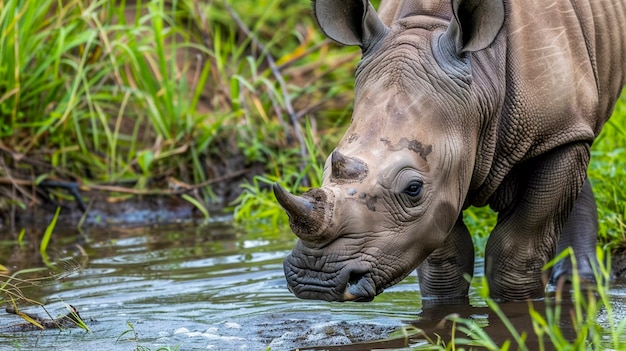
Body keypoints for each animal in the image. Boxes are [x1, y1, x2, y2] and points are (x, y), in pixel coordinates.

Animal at [272, 0, 624, 302]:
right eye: (327, 167)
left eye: (413, 189)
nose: (315, 281)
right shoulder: (445, 174)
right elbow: (444, 258)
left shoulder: (554, 133)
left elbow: (516, 254)